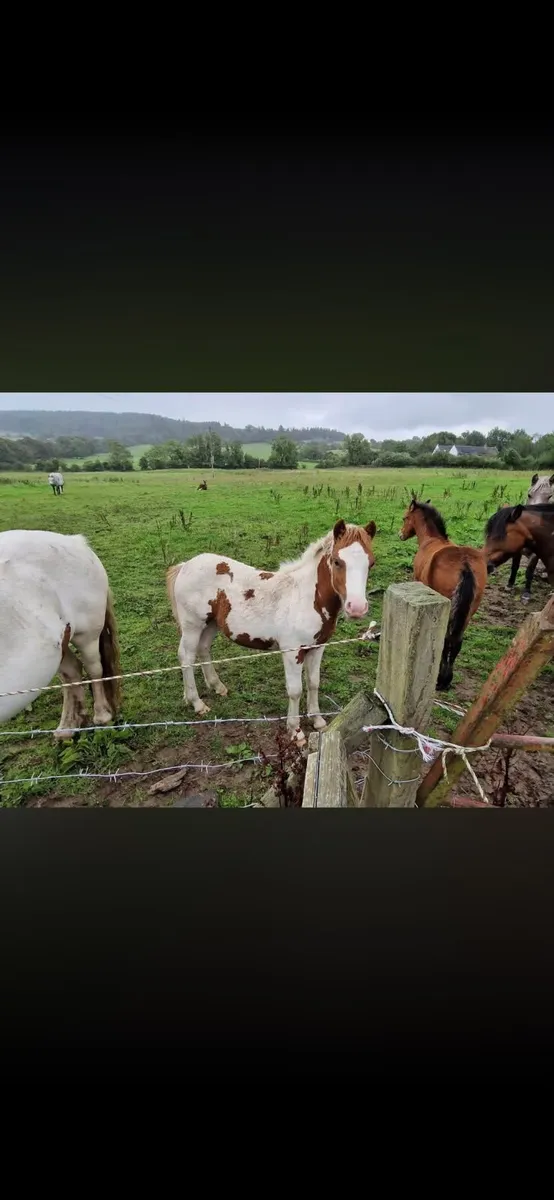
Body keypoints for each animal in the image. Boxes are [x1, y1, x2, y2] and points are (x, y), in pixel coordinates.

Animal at [0, 530, 121, 738]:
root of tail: (75, 541)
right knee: (71, 672)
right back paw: (68, 727)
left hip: (87, 635)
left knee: (93, 669)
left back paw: (101, 717)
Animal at [166, 518, 376, 739]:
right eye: (337, 561)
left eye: (371, 563)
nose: (357, 608)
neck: (307, 597)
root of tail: (184, 565)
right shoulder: (292, 651)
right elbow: (295, 690)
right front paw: (295, 731)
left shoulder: (318, 647)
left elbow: (313, 682)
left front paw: (318, 720)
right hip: (192, 624)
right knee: (186, 657)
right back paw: (197, 703)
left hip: (211, 623)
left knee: (203, 649)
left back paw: (217, 686)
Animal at [399, 498, 488, 691]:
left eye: (405, 517)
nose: (400, 534)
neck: (432, 540)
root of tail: (465, 564)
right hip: (468, 612)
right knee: (456, 641)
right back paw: (447, 680)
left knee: (446, 639)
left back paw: (441, 679)